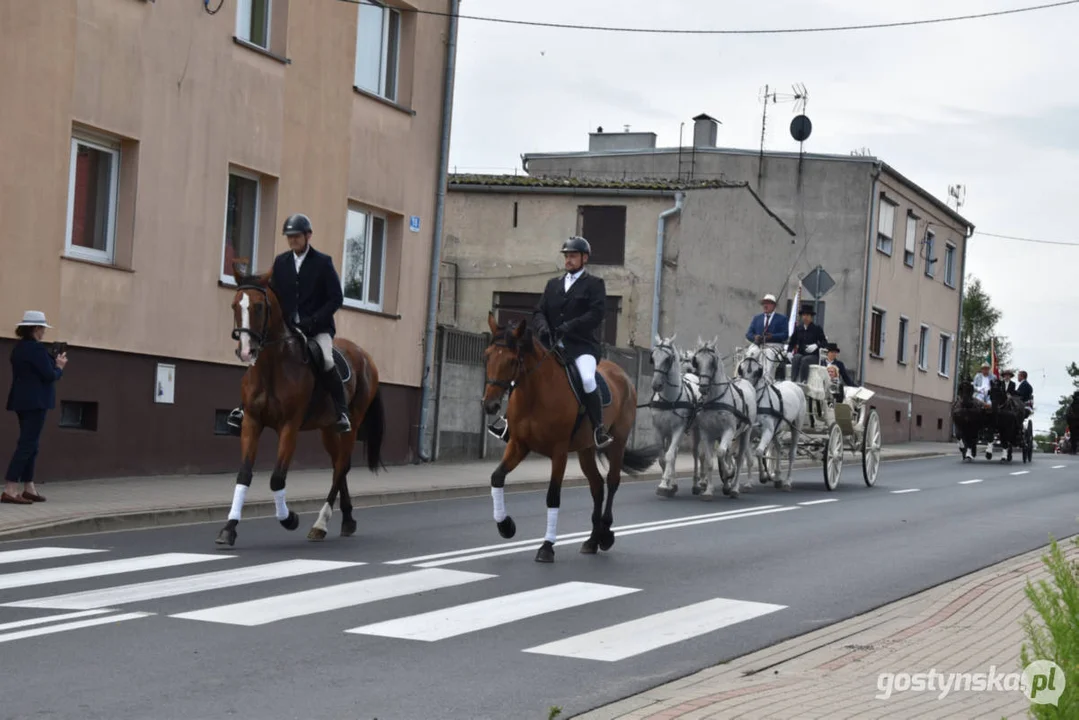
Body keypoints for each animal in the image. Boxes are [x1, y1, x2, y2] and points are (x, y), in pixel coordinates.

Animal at [215, 259, 388, 546]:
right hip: (327, 429)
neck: (272, 367)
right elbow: (244, 474)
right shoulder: (252, 422)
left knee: (342, 466)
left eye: (259, 306)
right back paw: (348, 520)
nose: (246, 351)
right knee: (338, 467)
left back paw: (321, 524)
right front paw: (229, 528)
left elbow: (277, 479)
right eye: (234, 305)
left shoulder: (289, 426)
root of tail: (366, 357)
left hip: (352, 424)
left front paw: (289, 519)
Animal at [483, 313, 664, 565]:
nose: (489, 405)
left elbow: (553, 496)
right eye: (487, 356)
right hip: (585, 449)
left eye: (511, 361)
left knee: (612, 481)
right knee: (597, 486)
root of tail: (621, 375)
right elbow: (497, 477)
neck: (534, 394)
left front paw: (547, 547)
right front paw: (506, 526)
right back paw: (592, 541)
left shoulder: (558, 451)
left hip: (617, 443)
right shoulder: (518, 444)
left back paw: (605, 535)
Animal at [643, 336, 703, 496]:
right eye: (653, 357)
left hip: (696, 430)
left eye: (668, 359)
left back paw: (697, 483)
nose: (656, 385)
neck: (669, 400)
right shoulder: (658, 429)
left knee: (696, 454)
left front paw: (664, 484)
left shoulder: (678, 429)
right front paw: (669, 484)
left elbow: (669, 455)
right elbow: (663, 457)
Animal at [690, 338, 759, 500]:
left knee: (740, 459)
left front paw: (728, 472)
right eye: (697, 361)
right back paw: (727, 485)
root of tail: (744, 381)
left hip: (745, 432)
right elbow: (710, 461)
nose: (703, 388)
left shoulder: (728, 430)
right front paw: (708, 491)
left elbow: (721, 454)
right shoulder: (706, 433)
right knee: (729, 454)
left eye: (712, 362)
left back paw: (734, 488)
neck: (716, 399)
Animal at [738, 343, 807, 490]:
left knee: (792, 453)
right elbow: (750, 456)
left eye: (756, 371)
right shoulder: (750, 433)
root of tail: (794, 384)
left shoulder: (768, 431)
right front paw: (750, 481)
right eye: (742, 369)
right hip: (777, 430)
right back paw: (777, 475)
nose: (745, 388)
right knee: (779, 447)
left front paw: (763, 476)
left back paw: (787, 480)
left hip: (796, 426)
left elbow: (759, 452)